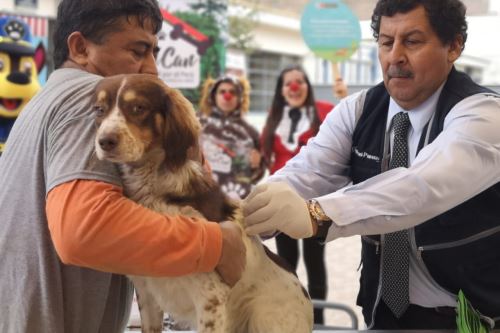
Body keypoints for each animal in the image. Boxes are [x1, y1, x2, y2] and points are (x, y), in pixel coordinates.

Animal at [92, 74, 314, 332]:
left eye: (138, 107)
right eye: (99, 110)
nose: (105, 141)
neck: (153, 190)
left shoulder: (210, 297)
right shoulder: (148, 292)